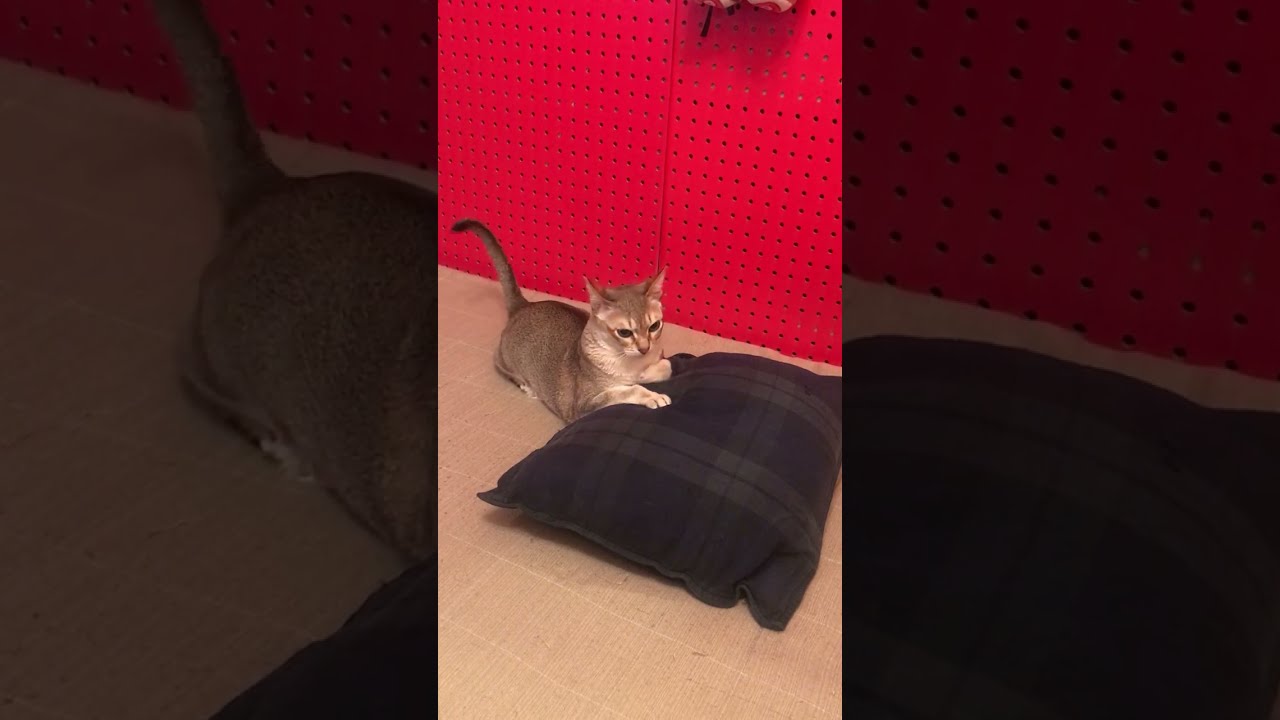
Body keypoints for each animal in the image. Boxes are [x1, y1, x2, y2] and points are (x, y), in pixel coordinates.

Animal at [451, 219, 674, 423]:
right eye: (624, 332)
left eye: (654, 326)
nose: (644, 348)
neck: (630, 361)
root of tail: (523, 306)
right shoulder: (583, 404)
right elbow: (628, 390)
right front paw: (653, 396)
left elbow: (666, 366)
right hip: (505, 358)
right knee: (499, 363)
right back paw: (526, 386)